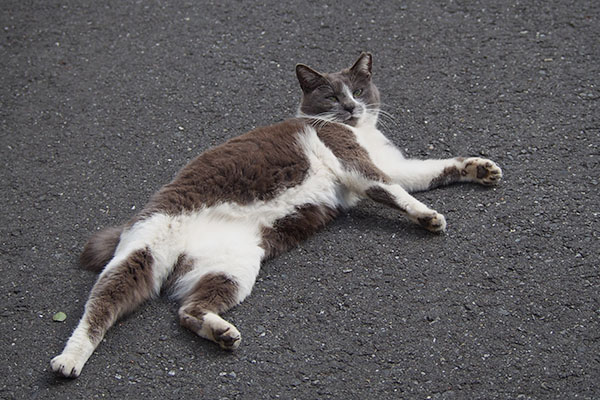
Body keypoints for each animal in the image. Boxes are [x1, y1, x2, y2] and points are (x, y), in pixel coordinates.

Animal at [51, 53, 502, 378]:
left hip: (233, 265)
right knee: (100, 306)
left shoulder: (393, 165)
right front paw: (428, 216)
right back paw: (68, 360)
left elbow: (428, 171)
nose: (351, 106)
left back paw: (221, 332)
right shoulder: (352, 159)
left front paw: (479, 169)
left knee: (187, 310)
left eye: (358, 88)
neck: (360, 133)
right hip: (143, 252)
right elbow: (392, 190)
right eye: (331, 97)